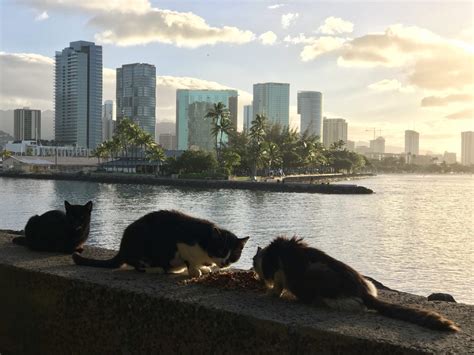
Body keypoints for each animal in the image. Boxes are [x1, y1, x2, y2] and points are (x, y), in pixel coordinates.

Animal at [72, 210, 250, 280]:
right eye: (220, 250)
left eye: (234, 255)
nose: (225, 262)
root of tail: (122, 248)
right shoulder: (182, 243)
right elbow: (190, 260)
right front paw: (194, 271)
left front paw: (204, 268)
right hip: (140, 245)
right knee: (138, 265)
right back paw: (157, 269)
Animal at [256, 236, 460, 334]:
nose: (254, 271)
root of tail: (362, 290)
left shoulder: (279, 273)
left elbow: (278, 287)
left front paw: (270, 293)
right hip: (367, 282)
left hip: (319, 275)